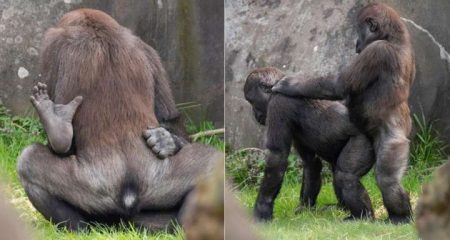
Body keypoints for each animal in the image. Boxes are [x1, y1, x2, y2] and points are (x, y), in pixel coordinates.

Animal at [17, 8, 221, 231]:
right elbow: (171, 119)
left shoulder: (52, 44)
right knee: (212, 165)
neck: (97, 29)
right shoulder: (149, 50)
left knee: (28, 161)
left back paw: (78, 227)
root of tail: (129, 195)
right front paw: (166, 141)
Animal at [244, 67, 374, 221]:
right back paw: (341, 208)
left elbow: (277, 157)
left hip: (363, 140)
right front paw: (305, 208)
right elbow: (311, 163)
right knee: (337, 171)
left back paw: (363, 217)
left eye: (251, 101)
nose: (254, 114)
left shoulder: (278, 103)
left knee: (346, 175)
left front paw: (262, 210)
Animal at [270, 2, 414, 223]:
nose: (356, 44)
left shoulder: (376, 51)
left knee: (385, 179)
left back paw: (400, 217)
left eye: (359, 32)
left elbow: (338, 85)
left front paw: (290, 84)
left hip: (396, 141)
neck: (394, 38)